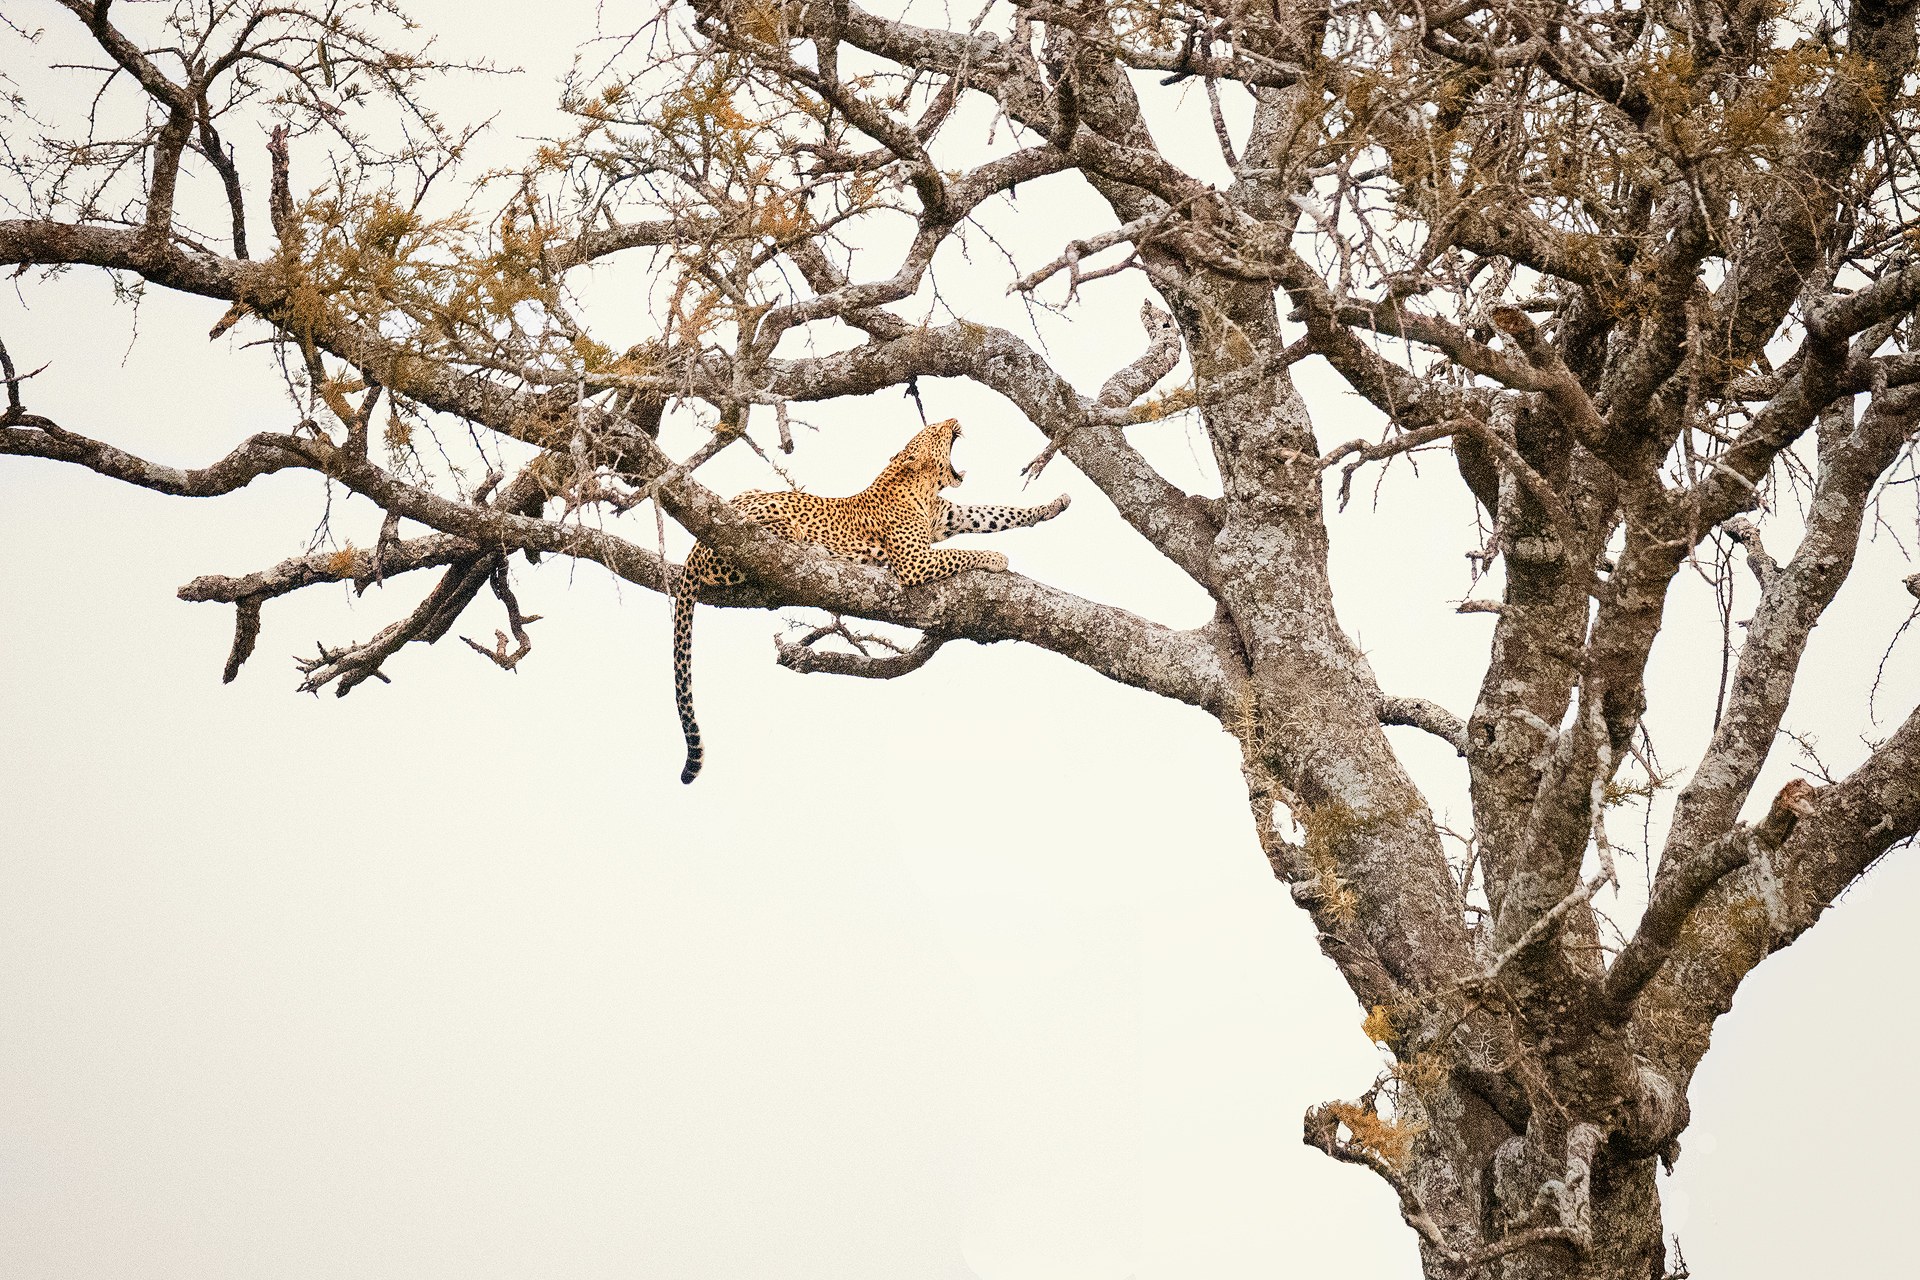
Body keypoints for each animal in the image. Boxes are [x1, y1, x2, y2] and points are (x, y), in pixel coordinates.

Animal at [672, 420, 1067, 782]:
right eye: (935, 430)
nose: (954, 420)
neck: (921, 486)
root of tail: (695, 548)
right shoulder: (914, 561)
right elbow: (960, 552)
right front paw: (995, 556)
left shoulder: (952, 515)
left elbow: (999, 511)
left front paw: (1052, 506)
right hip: (761, 520)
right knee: (768, 539)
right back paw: (816, 549)